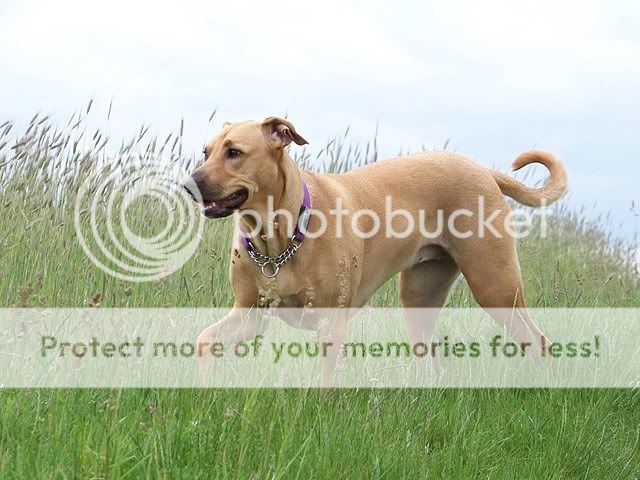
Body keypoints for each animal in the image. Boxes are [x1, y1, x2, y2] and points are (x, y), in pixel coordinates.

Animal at [186, 116, 567, 386]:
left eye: (234, 152)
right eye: (206, 152)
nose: (189, 184)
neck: (279, 240)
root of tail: (484, 171)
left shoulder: (331, 323)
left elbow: (325, 384)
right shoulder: (250, 315)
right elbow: (205, 340)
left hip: (496, 289)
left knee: (540, 345)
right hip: (419, 298)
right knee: (430, 359)